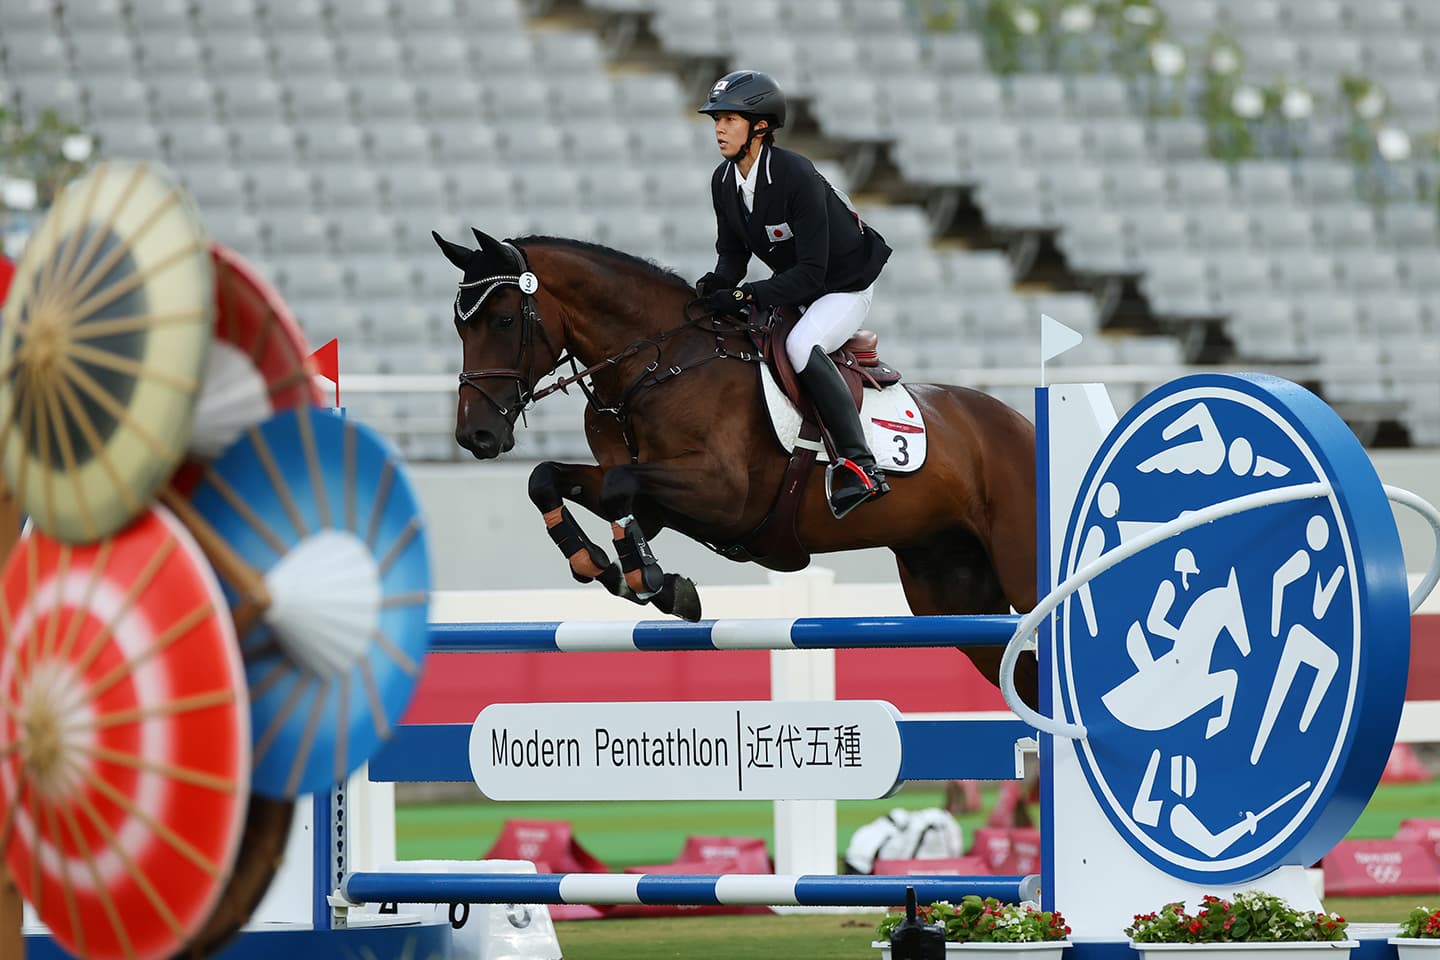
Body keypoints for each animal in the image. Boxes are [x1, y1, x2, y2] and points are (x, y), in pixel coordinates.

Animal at [432, 228, 1042, 702]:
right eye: (460, 327)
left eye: (504, 321)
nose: (476, 435)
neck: (654, 364)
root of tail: (1022, 425)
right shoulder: (656, 503)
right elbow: (550, 480)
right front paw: (606, 567)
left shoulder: (723, 495)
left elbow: (620, 488)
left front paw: (652, 580)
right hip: (955, 591)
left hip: (1019, 573)